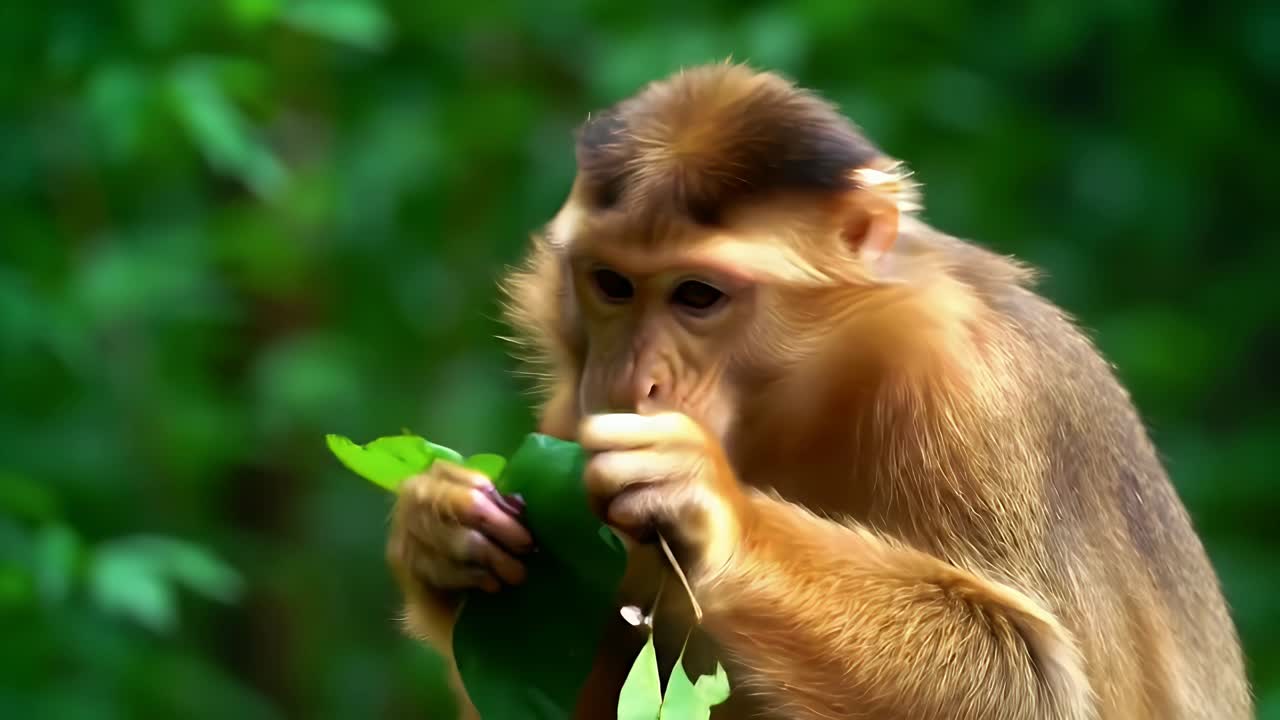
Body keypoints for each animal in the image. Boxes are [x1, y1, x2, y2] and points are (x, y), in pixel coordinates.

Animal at [385, 63, 1252, 719]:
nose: (632, 378)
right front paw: (440, 529)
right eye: (612, 284)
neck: (808, 391)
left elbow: (1035, 685)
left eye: (697, 295)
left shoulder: (968, 389)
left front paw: (713, 510)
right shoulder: (573, 420)